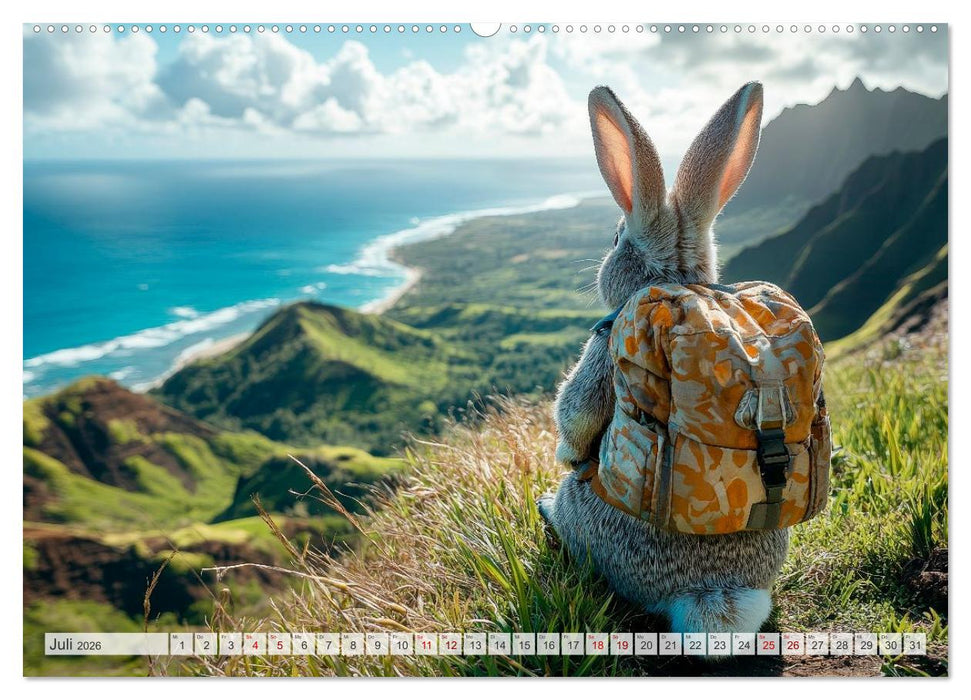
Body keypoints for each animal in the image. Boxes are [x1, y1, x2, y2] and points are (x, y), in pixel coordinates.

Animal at [537, 82, 789, 635]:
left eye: (616, 238)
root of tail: (711, 593)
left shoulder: (603, 344)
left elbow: (577, 413)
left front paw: (565, 450)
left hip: (581, 509)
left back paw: (546, 508)